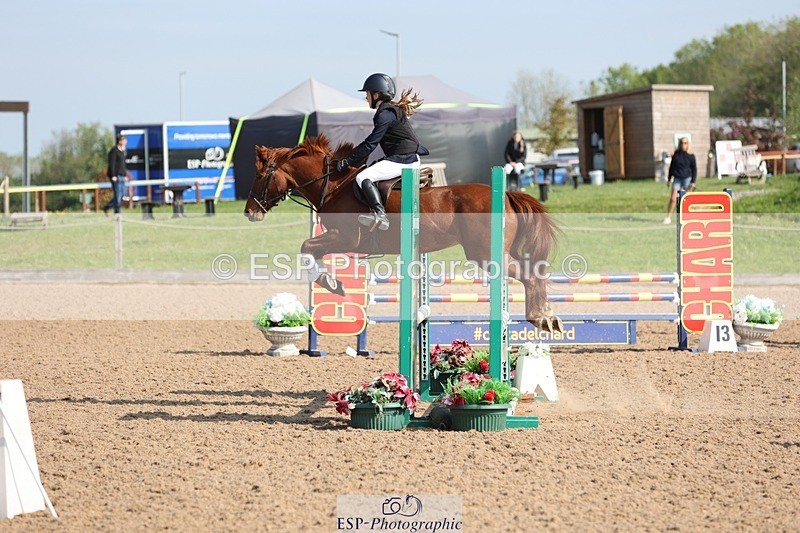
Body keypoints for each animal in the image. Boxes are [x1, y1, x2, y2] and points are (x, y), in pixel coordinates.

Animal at [244, 135, 563, 332]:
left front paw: (331, 284)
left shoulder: (345, 238)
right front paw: (333, 282)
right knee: (533, 272)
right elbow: (311, 249)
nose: (249, 212)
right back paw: (546, 316)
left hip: (485, 255)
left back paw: (541, 317)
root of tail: (506, 195)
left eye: (259, 176)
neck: (332, 185)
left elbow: (307, 246)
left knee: (530, 275)